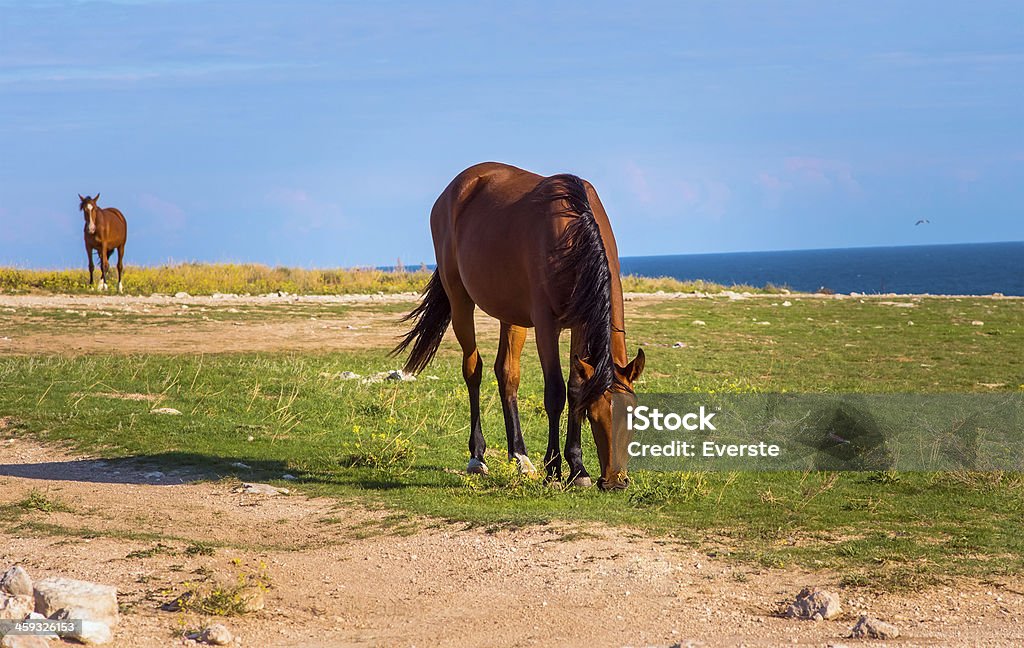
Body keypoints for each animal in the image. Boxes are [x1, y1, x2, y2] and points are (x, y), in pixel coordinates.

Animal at [395, 162, 643, 489]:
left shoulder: (580, 325)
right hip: (460, 301)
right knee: (473, 370)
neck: (572, 235)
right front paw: (554, 470)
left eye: (634, 417)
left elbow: (575, 388)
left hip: (511, 315)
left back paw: (520, 457)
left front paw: (578, 468)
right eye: (594, 416)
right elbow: (555, 394)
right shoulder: (546, 325)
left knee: (507, 375)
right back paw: (478, 457)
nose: (615, 481)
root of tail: (455, 189)